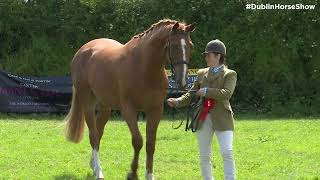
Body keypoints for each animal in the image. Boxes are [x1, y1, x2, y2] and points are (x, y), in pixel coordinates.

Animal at [63, 19, 195, 179]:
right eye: (174, 45)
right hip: (87, 103)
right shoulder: (129, 110)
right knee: (93, 135)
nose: (182, 81)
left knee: (98, 133)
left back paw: (94, 165)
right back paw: (99, 171)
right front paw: (133, 173)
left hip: (105, 107)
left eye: (191, 45)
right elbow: (138, 141)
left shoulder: (155, 110)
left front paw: (149, 174)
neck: (144, 68)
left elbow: (150, 144)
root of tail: (82, 51)